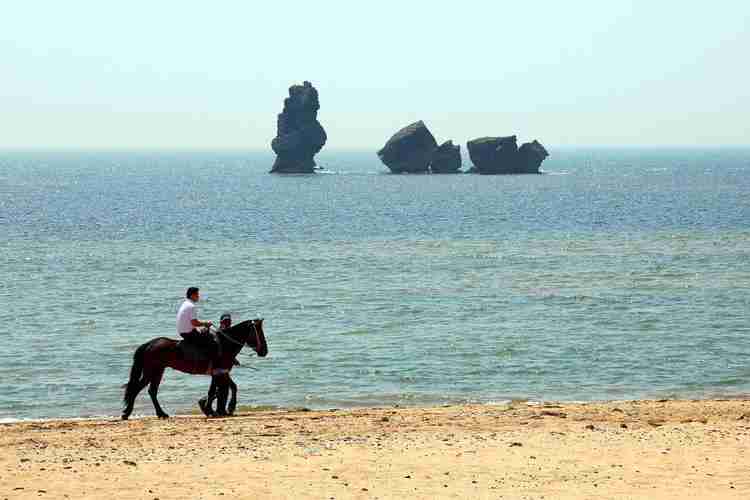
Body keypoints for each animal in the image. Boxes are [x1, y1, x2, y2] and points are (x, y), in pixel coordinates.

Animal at [121, 318, 268, 420]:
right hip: (151, 372)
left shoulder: (219, 373)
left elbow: (221, 389)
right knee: (137, 389)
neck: (224, 344)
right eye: (259, 333)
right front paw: (217, 409)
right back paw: (127, 413)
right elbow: (217, 391)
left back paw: (160, 413)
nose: (264, 351)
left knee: (151, 391)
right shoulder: (219, 372)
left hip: (158, 371)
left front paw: (214, 409)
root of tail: (149, 344)